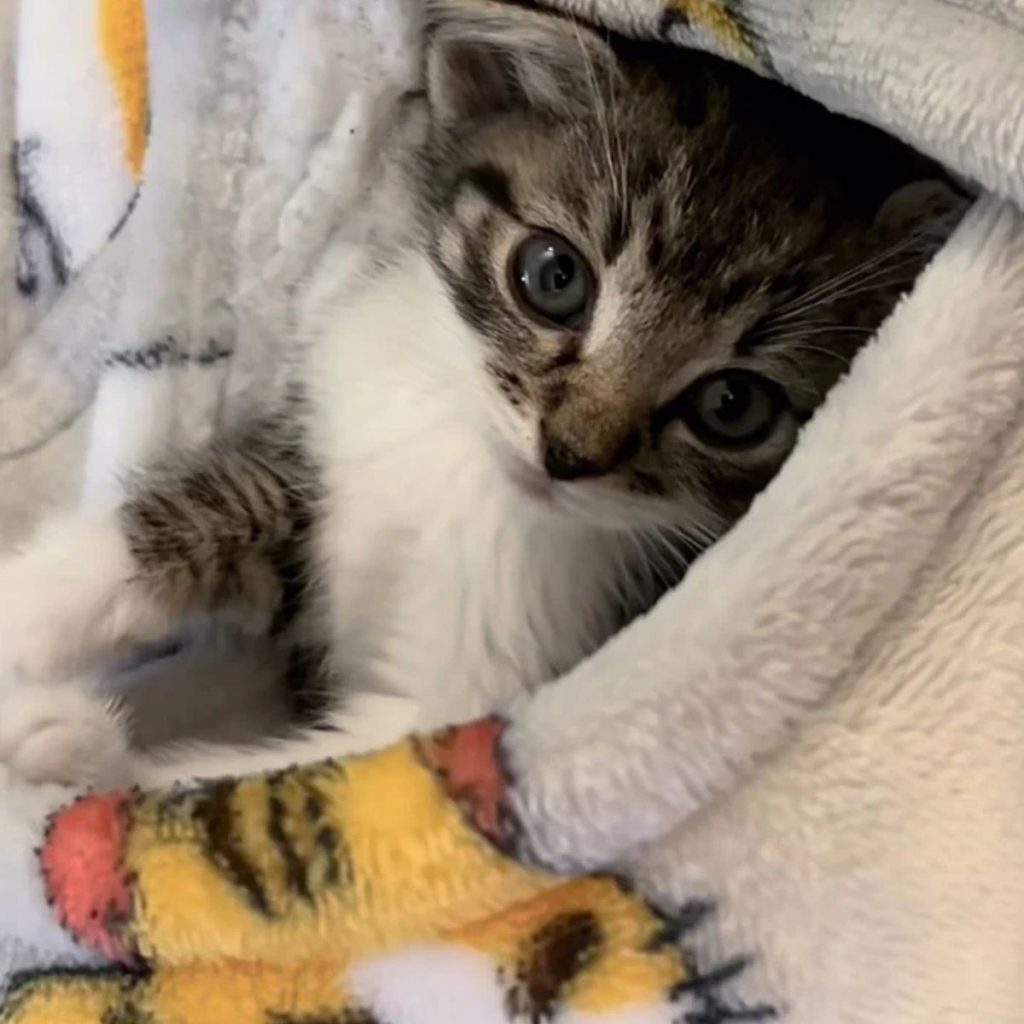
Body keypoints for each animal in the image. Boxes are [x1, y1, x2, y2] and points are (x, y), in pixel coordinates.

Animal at [0, 0, 966, 790]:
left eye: (734, 407)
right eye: (554, 276)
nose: (568, 453)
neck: (476, 478)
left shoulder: (476, 706)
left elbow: (307, 776)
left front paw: (69, 746)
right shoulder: (339, 417)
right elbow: (207, 505)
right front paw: (27, 610)